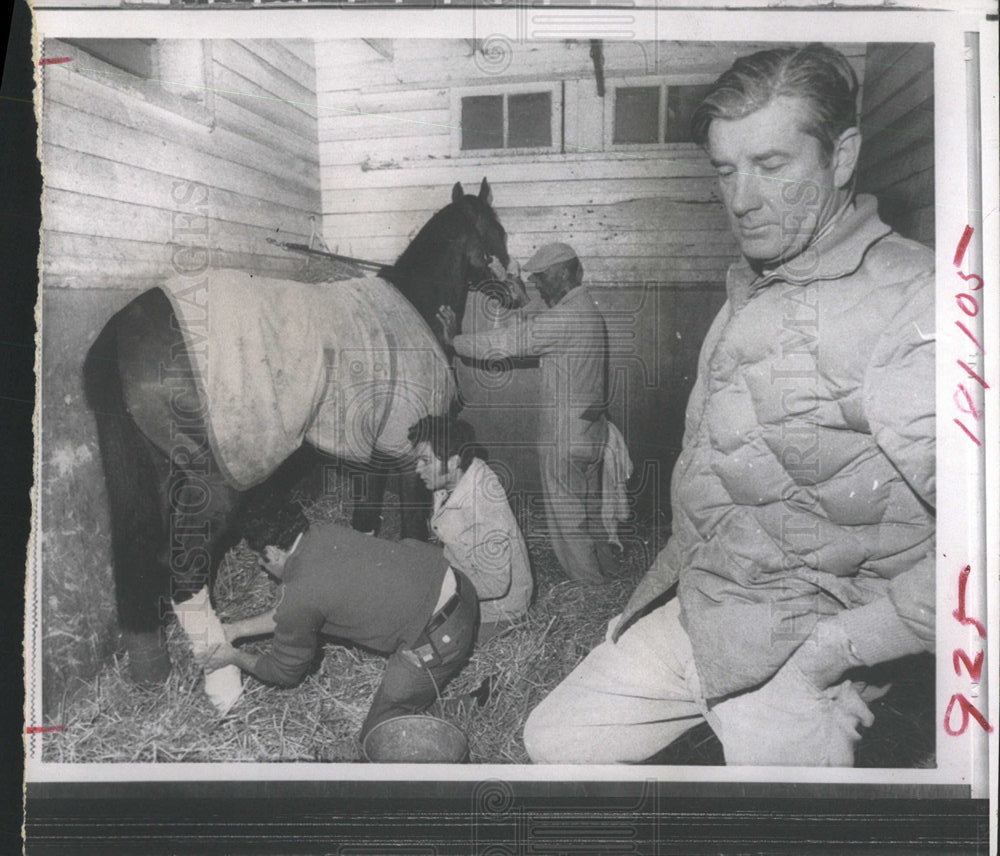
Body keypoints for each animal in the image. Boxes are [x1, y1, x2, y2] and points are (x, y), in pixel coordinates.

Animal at [84, 176, 508, 684]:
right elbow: (411, 527)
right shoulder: (406, 452)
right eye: (497, 232)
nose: (514, 292)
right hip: (214, 481)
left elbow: (365, 520)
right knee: (185, 568)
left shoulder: (372, 451)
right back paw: (221, 677)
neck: (414, 306)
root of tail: (122, 327)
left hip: (162, 471)